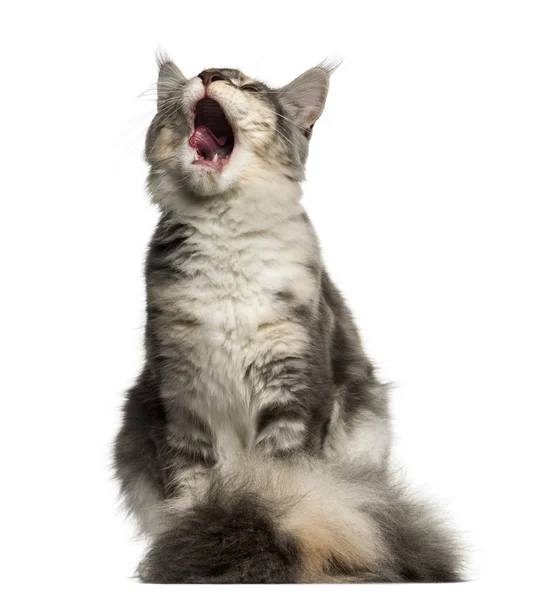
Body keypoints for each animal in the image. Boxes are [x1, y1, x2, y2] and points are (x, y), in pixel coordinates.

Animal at [114, 55, 464, 580]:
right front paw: (202, 542)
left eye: (248, 87)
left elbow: (287, 485)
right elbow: (192, 488)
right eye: (199, 74)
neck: (226, 241)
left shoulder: (295, 385)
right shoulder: (179, 395)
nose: (210, 75)